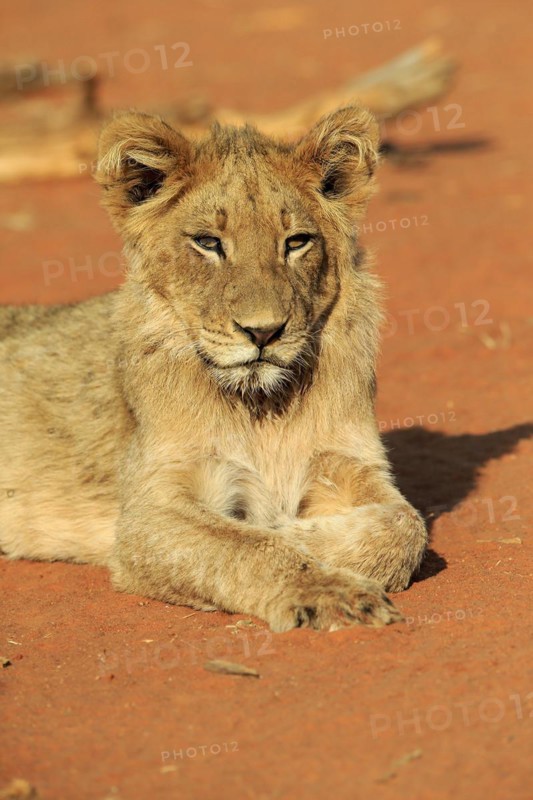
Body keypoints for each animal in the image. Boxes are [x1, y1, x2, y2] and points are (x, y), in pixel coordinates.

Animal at [0, 106, 427, 631]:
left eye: (297, 242)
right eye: (208, 242)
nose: (263, 332)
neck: (264, 407)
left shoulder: (349, 461)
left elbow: (404, 526)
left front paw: (295, 529)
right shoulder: (149, 514)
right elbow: (249, 546)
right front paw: (326, 586)